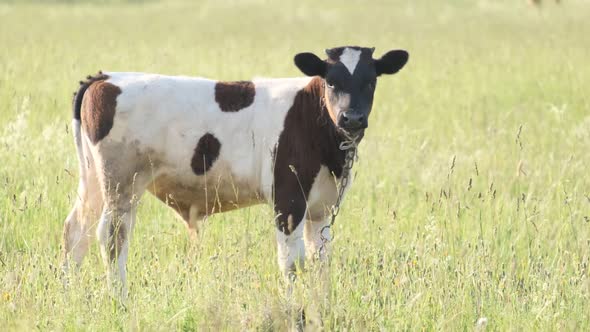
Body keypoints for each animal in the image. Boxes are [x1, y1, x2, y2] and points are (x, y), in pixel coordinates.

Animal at [62, 46, 410, 296]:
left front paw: (319, 302)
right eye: (331, 80)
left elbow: (320, 260)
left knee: (76, 230)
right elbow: (291, 262)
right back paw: (119, 298)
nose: (351, 118)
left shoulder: (323, 206)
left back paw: (69, 291)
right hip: (121, 183)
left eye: (370, 80)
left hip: (93, 181)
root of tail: (106, 77)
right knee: (111, 236)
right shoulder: (288, 200)